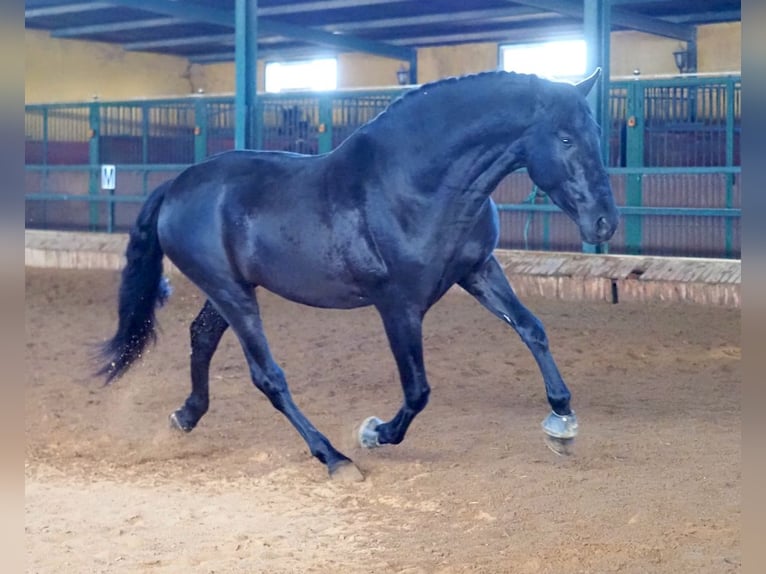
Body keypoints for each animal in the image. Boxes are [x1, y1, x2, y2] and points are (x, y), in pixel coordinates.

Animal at [100, 68, 616, 482]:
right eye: (565, 138)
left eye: (595, 131)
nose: (605, 223)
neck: (417, 186)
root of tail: (175, 185)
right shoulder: (399, 304)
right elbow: (418, 391)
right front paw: (373, 433)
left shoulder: (478, 270)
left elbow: (532, 329)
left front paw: (562, 422)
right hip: (232, 293)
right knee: (268, 376)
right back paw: (335, 458)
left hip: (231, 289)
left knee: (203, 338)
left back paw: (185, 417)